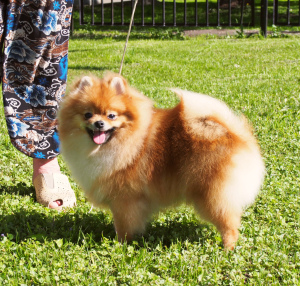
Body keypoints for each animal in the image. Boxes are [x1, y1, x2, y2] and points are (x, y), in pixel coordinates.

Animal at [57, 72, 264, 249]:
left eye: (111, 115)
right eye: (87, 114)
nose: (99, 123)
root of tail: (235, 134)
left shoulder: (124, 199)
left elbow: (123, 225)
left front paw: (121, 244)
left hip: (211, 195)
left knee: (229, 224)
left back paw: (228, 248)